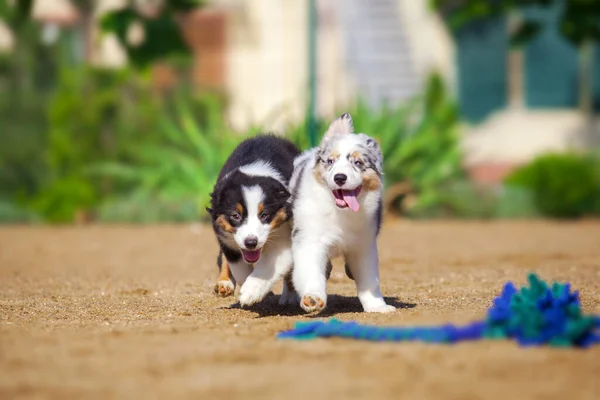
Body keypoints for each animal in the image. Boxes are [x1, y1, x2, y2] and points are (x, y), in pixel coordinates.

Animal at [207, 134, 300, 306]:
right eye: (235, 216)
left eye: (264, 215)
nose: (251, 243)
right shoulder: (226, 237)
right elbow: (239, 268)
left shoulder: (285, 236)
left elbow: (270, 265)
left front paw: (251, 291)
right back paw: (224, 284)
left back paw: (289, 296)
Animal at [290, 112, 396, 312]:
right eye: (330, 161)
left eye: (358, 162)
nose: (340, 177)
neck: (340, 212)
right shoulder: (310, 239)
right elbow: (311, 271)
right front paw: (313, 298)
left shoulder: (364, 245)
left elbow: (369, 280)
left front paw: (377, 306)